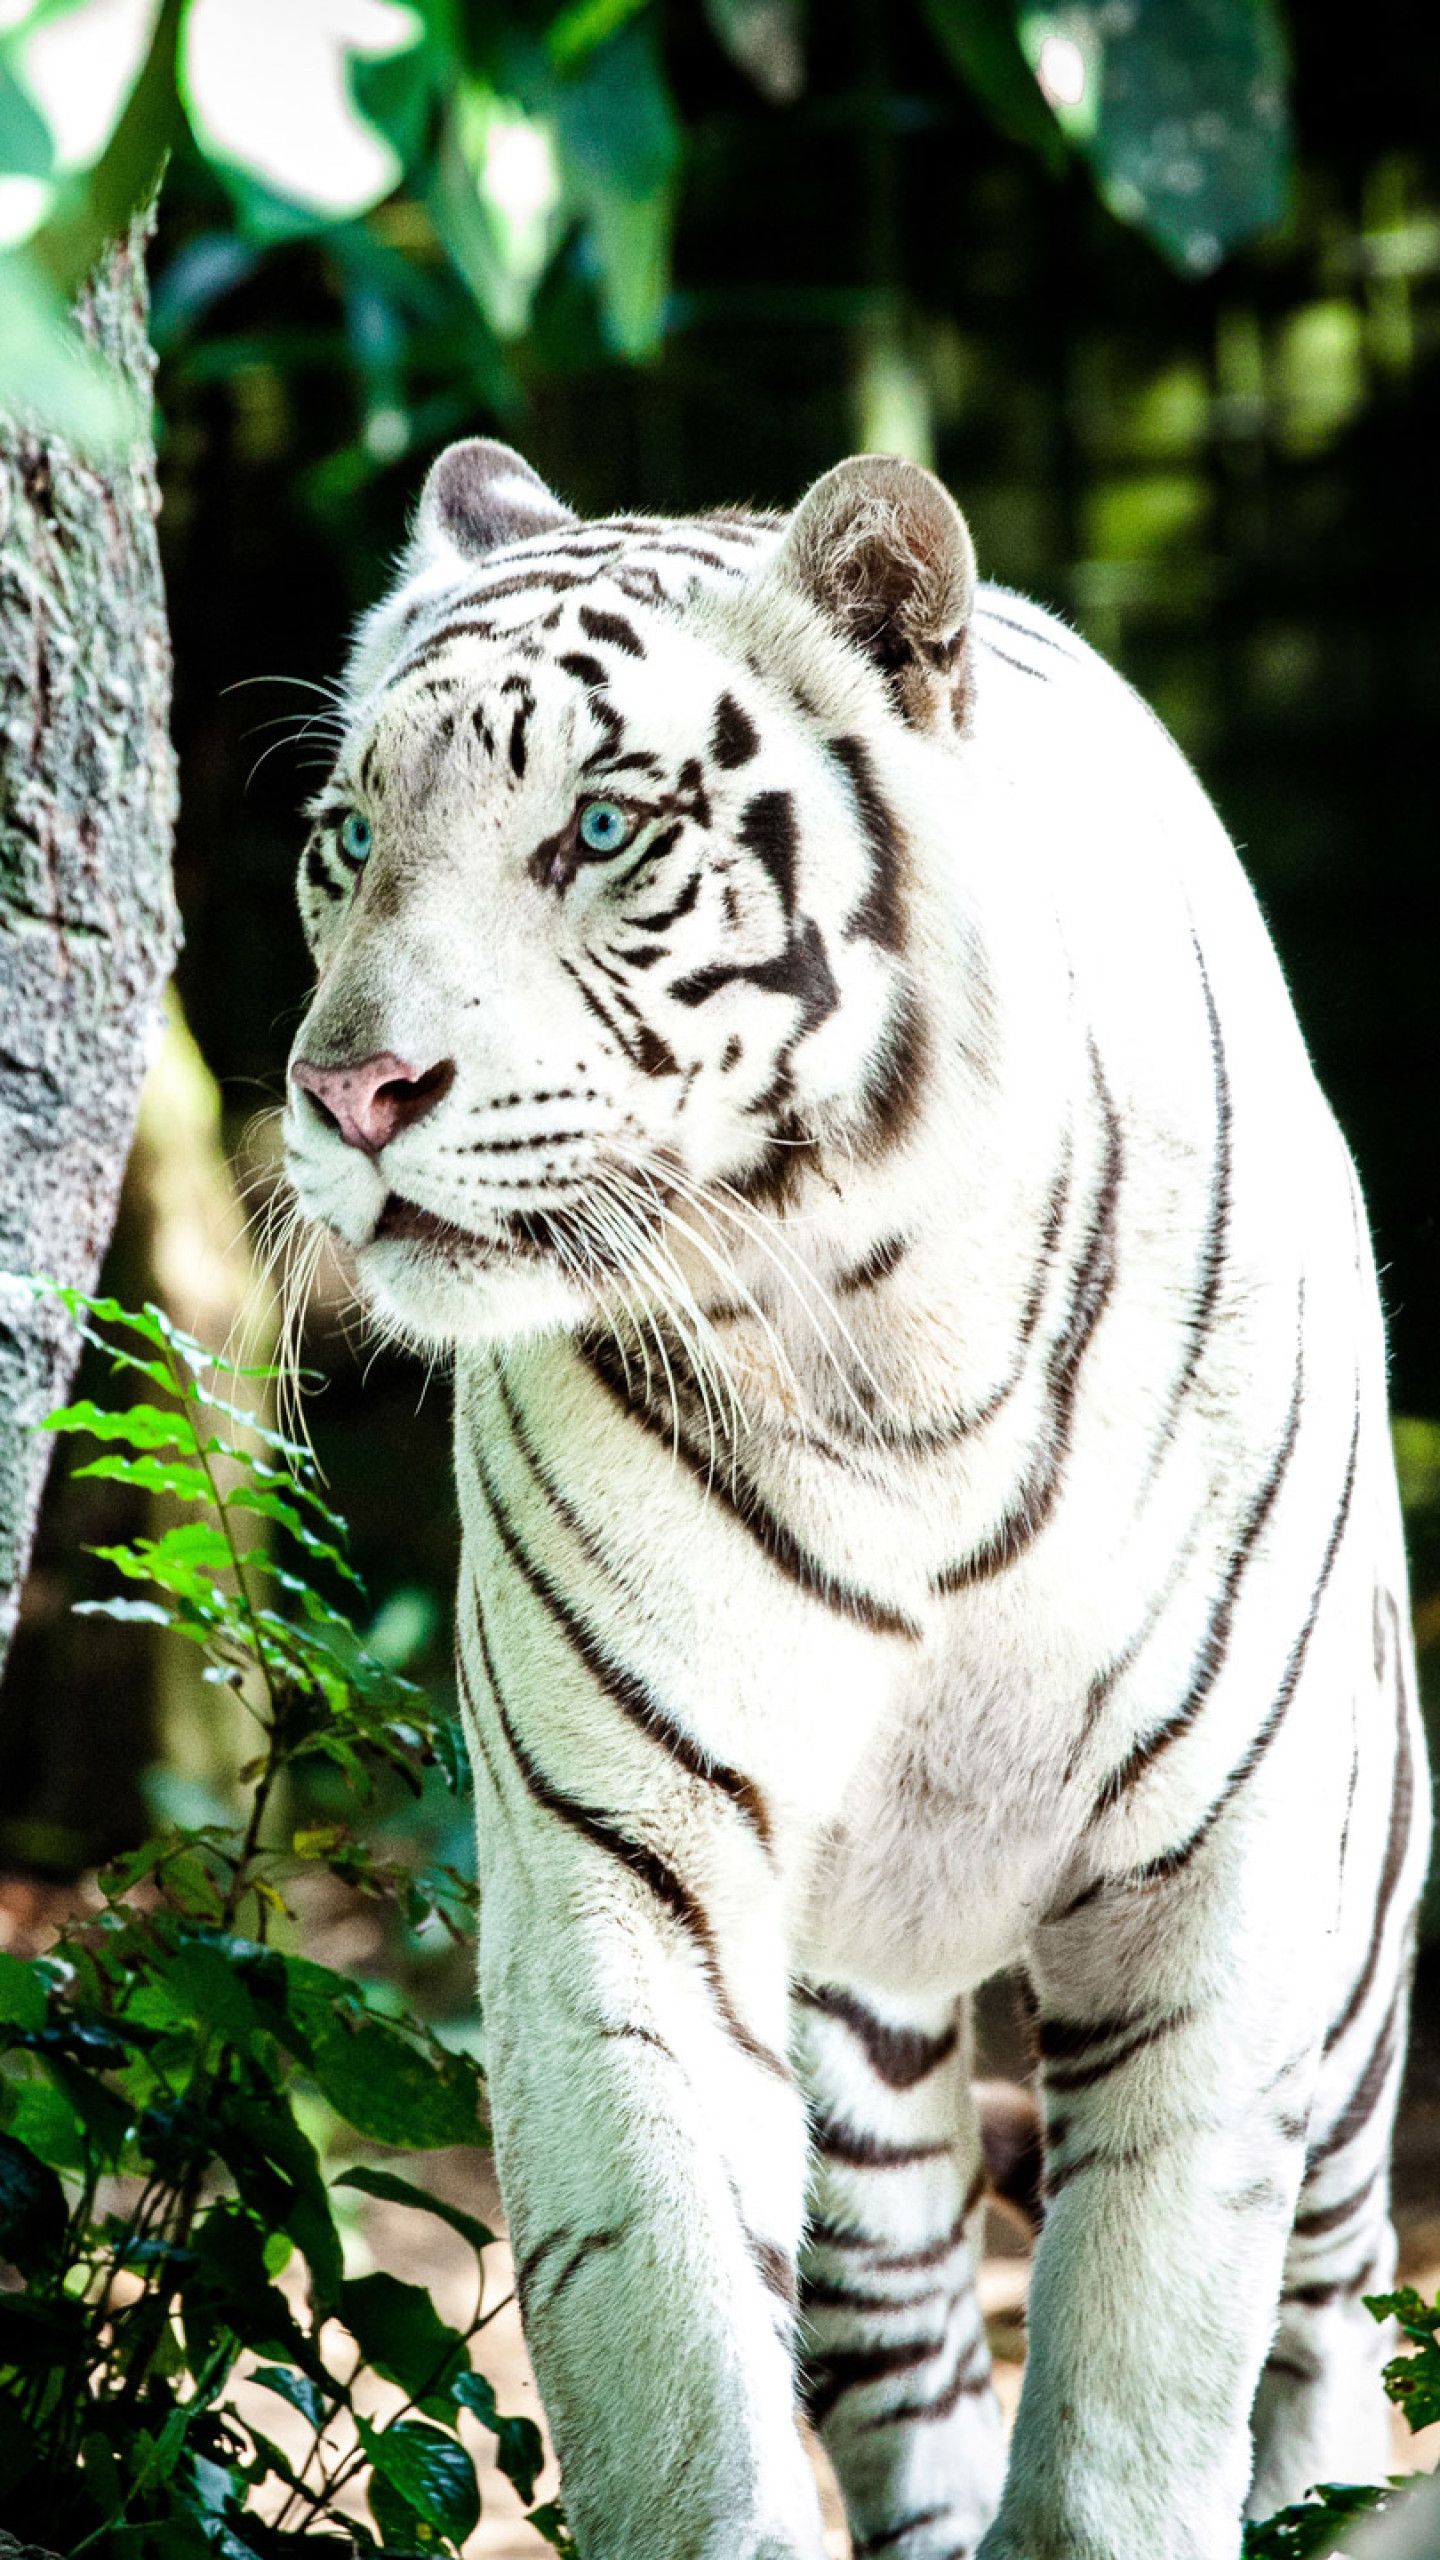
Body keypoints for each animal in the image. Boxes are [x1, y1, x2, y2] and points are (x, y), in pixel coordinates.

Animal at [281, 435, 1428, 2560]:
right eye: (348, 834)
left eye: (603, 827)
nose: (349, 1094)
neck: (882, 1348)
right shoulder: (626, 1873)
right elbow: (672, 2372)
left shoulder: (1214, 1885)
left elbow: (1142, 2389)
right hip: (865, 2058)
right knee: (910, 2359)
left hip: (1356, 1944)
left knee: (1329, 2317)